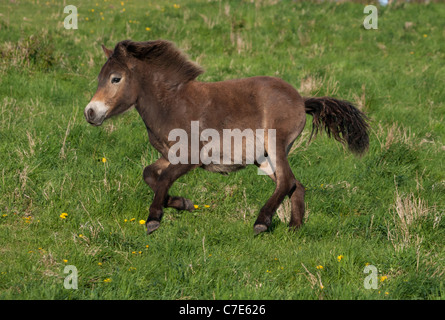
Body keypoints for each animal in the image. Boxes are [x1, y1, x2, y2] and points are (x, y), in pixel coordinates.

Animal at [84, 40, 368, 235]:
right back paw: (294, 228)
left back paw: (261, 223)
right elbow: (149, 174)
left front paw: (154, 218)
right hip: (264, 159)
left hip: (275, 145)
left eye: (116, 78)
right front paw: (183, 203)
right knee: (295, 185)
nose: (90, 112)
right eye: (100, 78)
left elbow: (162, 179)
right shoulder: (169, 156)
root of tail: (301, 100)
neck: (172, 105)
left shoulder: (190, 158)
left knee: (287, 181)